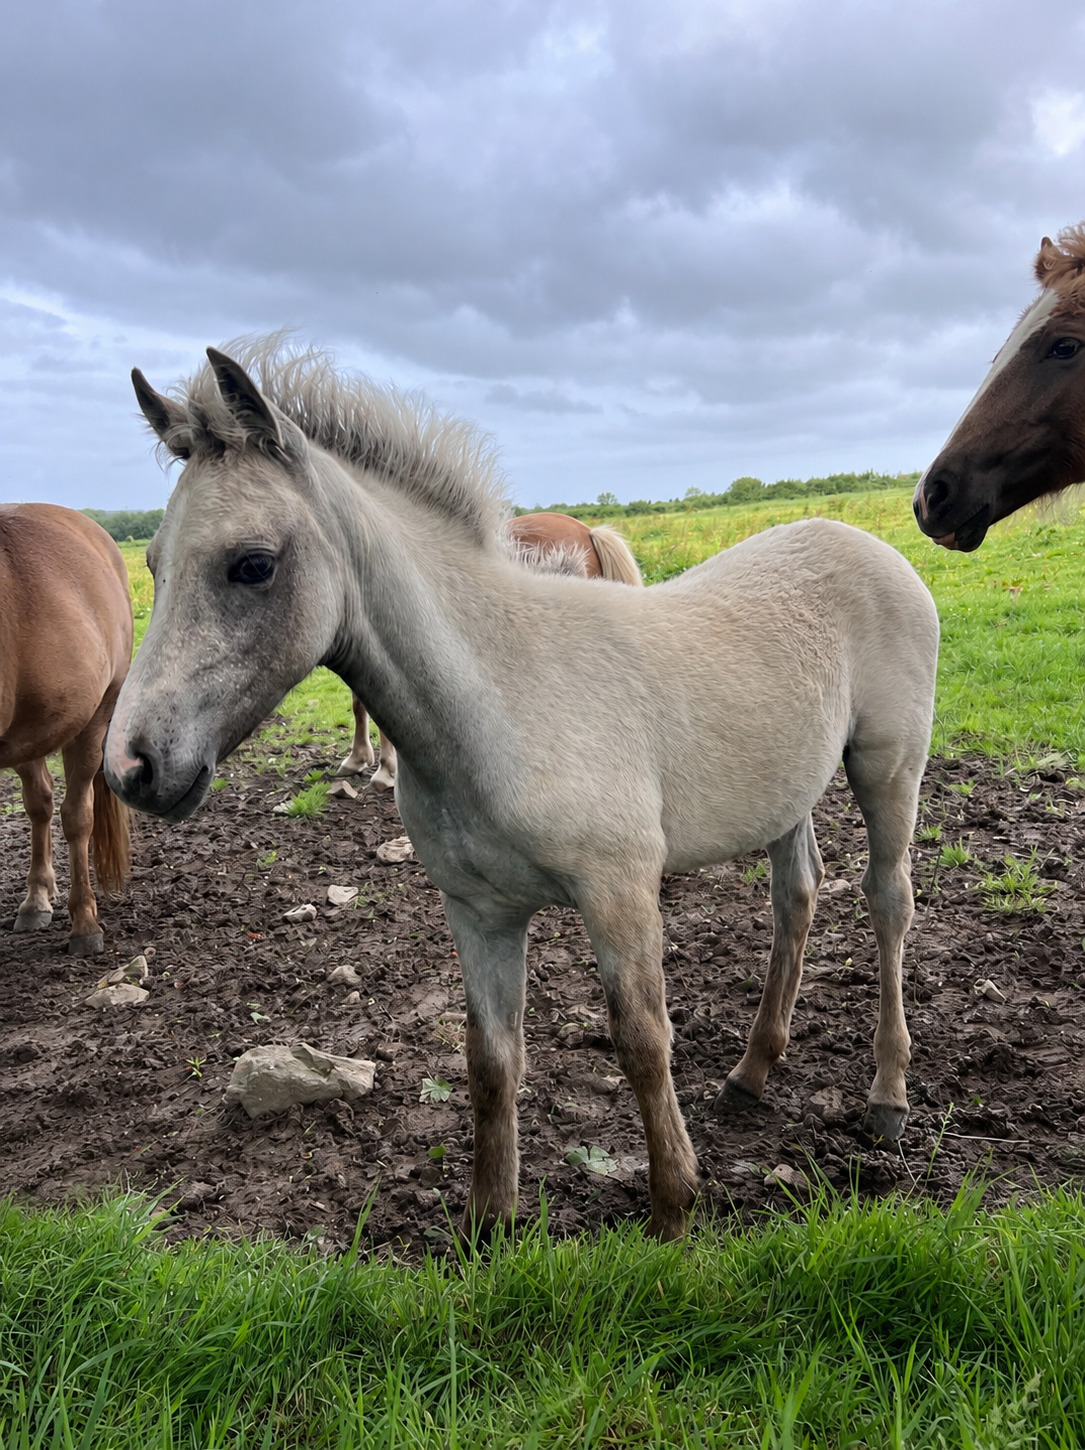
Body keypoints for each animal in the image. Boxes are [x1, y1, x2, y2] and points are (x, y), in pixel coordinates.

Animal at [1, 504, 133, 955]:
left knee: (76, 815)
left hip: (92, 722)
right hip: (30, 734)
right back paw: (36, 898)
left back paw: (84, 922)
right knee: (39, 803)